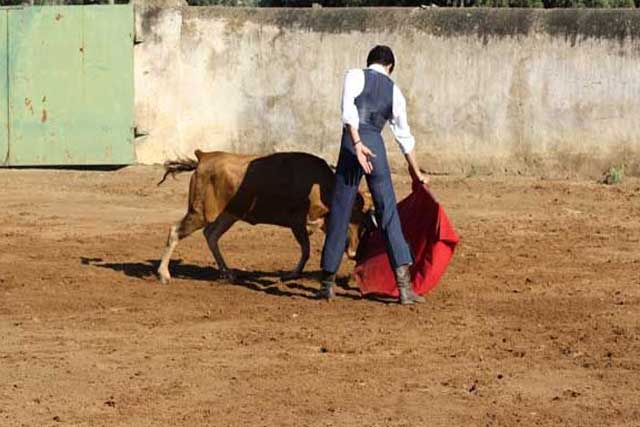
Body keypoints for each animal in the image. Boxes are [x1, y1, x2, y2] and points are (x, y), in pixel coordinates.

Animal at [156, 150, 370, 284]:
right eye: (354, 218)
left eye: (364, 224)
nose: (353, 252)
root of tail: (203, 156)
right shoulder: (297, 222)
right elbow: (306, 249)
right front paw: (291, 275)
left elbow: (307, 248)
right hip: (200, 212)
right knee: (176, 231)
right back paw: (164, 274)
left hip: (229, 215)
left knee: (211, 235)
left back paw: (227, 273)